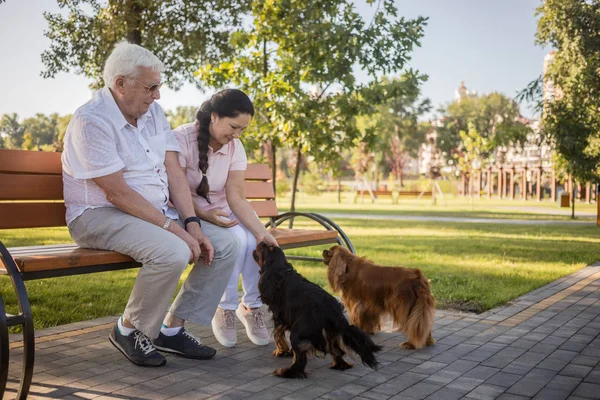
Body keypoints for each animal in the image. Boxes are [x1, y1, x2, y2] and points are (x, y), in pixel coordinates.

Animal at [252, 242, 382, 380]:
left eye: (269, 248)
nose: (262, 242)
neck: (281, 272)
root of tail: (332, 311)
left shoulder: (279, 315)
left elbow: (277, 334)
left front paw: (280, 351)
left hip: (298, 332)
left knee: (300, 360)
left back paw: (285, 372)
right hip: (330, 332)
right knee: (336, 351)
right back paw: (339, 365)